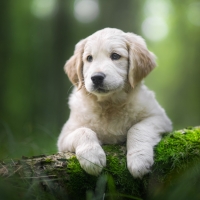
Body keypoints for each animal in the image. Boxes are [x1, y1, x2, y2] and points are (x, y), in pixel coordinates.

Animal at [57, 27, 172, 177]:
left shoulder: (160, 117)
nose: (96, 77)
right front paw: (92, 157)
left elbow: (137, 128)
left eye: (115, 56)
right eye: (89, 58)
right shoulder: (64, 137)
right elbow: (83, 131)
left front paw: (139, 159)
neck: (109, 104)